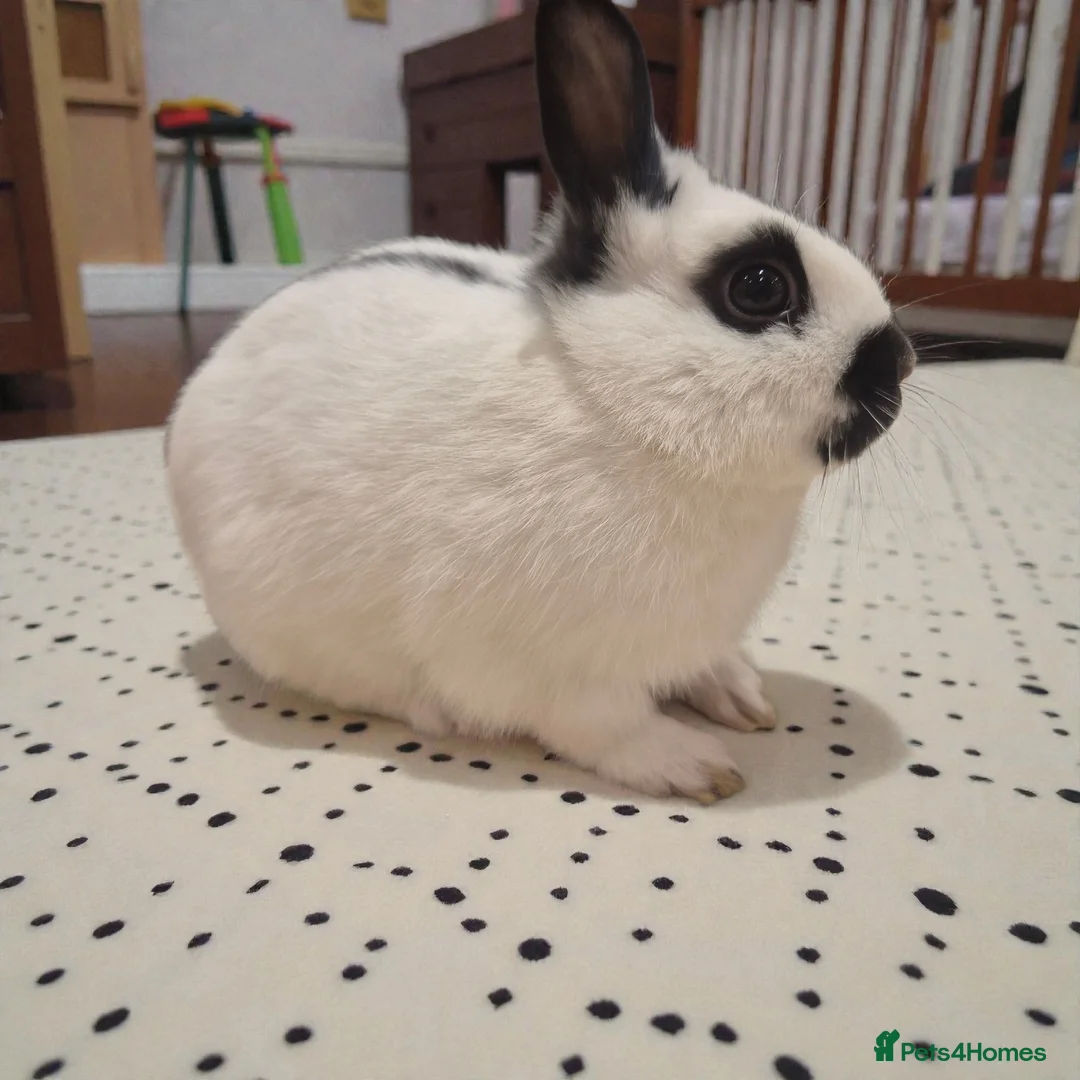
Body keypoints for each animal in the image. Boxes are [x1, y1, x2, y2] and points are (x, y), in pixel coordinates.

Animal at [166, 0, 916, 802]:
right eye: (760, 287)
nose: (899, 361)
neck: (616, 404)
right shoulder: (551, 673)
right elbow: (608, 728)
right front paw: (697, 765)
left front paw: (742, 695)